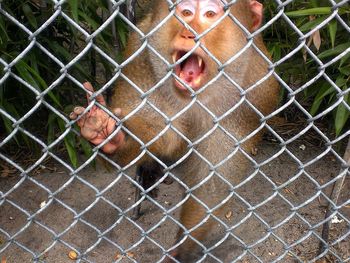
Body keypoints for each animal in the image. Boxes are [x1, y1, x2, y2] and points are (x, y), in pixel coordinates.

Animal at [69, 0, 280, 262]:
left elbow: (213, 181)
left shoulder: (254, 93)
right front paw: (107, 132)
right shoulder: (143, 55)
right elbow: (162, 133)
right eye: (186, 12)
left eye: (210, 14)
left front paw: (183, 248)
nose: (188, 33)